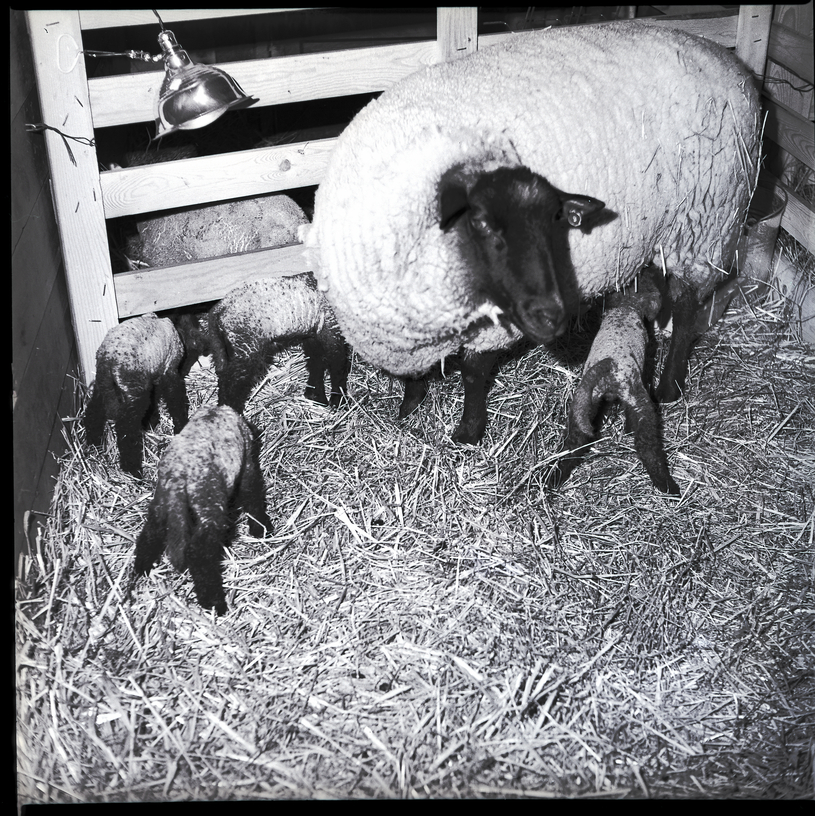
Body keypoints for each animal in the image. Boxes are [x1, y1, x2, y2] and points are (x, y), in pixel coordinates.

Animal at [83, 312, 209, 479]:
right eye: (195, 353)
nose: (185, 371)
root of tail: (108, 359)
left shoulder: (154, 375)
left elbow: (155, 398)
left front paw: (152, 421)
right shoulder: (169, 371)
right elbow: (175, 399)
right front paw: (180, 426)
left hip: (103, 385)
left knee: (94, 412)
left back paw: (93, 445)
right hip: (134, 392)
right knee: (126, 430)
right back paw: (133, 471)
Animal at [132, 405, 272, 615]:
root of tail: (178, 473)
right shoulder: (247, 465)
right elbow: (252, 495)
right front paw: (261, 528)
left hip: (163, 500)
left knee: (151, 530)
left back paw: (142, 566)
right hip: (209, 504)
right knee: (198, 552)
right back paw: (214, 603)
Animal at [208, 273, 350, 413]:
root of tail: (219, 308)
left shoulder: (313, 334)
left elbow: (316, 363)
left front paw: (316, 396)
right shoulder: (332, 329)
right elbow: (337, 366)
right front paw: (339, 401)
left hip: (225, 349)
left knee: (223, 379)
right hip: (245, 348)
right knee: (232, 386)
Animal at [305, 21, 761, 441]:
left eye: (556, 224)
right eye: (482, 224)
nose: (553, 317)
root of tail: (727, 59)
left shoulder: (489, 324)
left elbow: (473, 371)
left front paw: (468, 431)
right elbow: (415, 374)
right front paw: (409, 406)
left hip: (708, 222)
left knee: (686, 308)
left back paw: (669, 386)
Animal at [546, 266, 680, 495]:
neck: (626, 306)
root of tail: (608, 366)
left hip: (584, 402)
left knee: (574, 440)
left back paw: (554, 477)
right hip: (636, 397)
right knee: (647, 445)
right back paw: (667, 485)